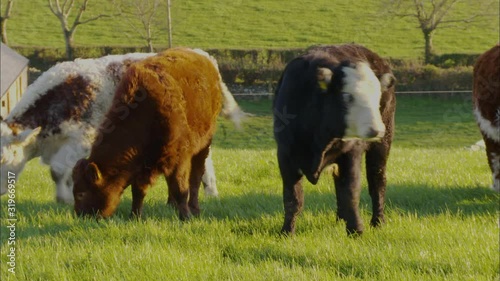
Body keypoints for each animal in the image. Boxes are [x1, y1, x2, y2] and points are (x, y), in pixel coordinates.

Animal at [0, 50, 244, 202]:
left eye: (3, 159)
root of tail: (203, 56)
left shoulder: (81, 139)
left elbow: (58, 170)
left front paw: (64, 199)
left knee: (204, 161)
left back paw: (210, 193)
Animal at [72, 47, 223, 219]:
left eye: (81, 193)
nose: (79, 215)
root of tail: (205, 61)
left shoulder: (179, 158)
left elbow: (180, 188)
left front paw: (185, 217)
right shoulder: (144, 165)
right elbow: (138, 191)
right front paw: (134, 216)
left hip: (204, 146)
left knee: (195, 178)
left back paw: (194, 208)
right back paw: (171, 205)